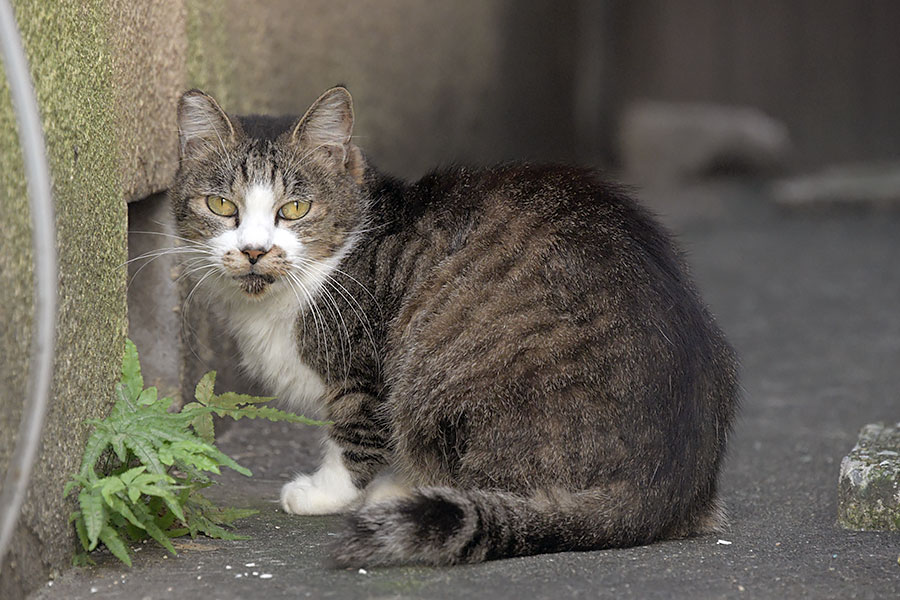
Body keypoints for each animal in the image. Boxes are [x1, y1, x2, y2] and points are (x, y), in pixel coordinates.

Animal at [169, 86, 740, 564]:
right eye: (221, 204)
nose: (254, 250)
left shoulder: (364, 374)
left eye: (294, 208)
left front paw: (325, 492)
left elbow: (354, 437)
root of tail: (663, 489)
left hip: (440, 380)